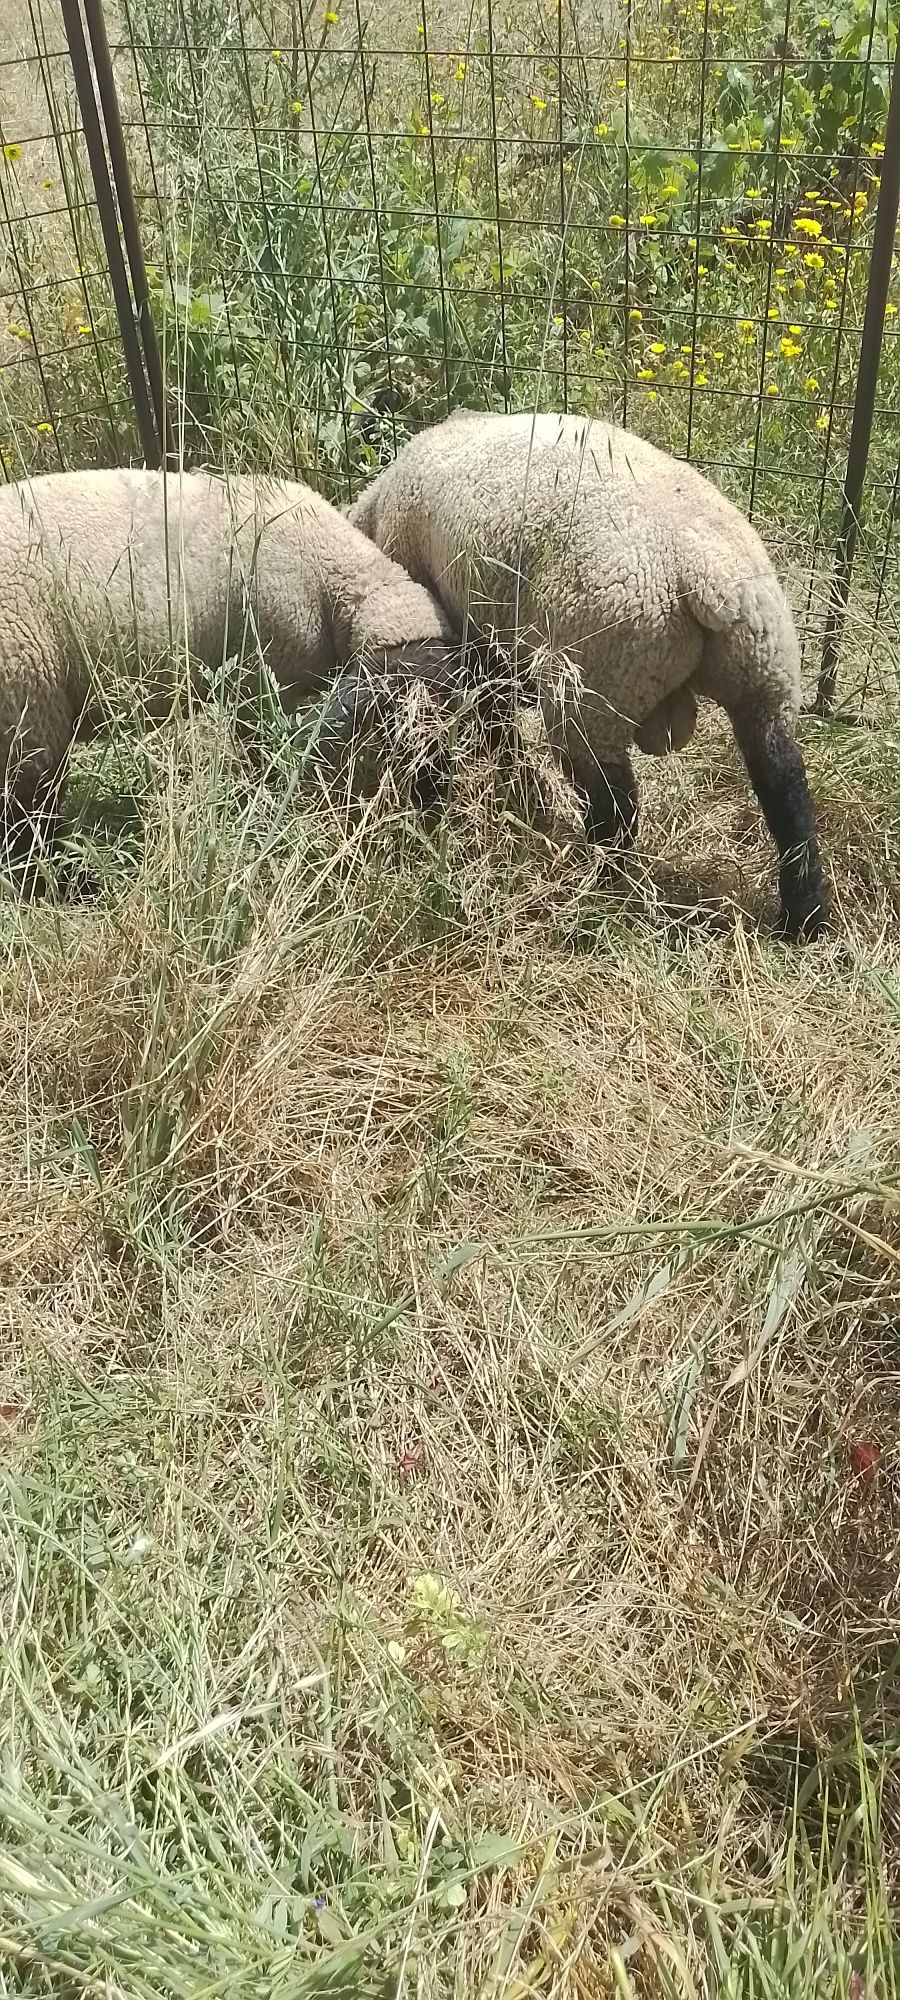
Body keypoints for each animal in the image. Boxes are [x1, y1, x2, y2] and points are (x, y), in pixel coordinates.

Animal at [0, 464, 474, 880]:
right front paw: (265, 806)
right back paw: (60, 887)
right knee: (26, 820)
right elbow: (261, 753)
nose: (434, 801)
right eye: (396, 718)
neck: (331, 574)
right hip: (25, 706)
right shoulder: (261, 679)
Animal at [350, 410, 828, 940]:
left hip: (595, 684)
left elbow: (492, 715)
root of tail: (708, 576)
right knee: (787, 795)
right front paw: (519, 784)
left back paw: (602, 891)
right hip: (764, 674)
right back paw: (804, 919)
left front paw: (513, 782)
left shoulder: (467, 629)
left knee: (614, 806)